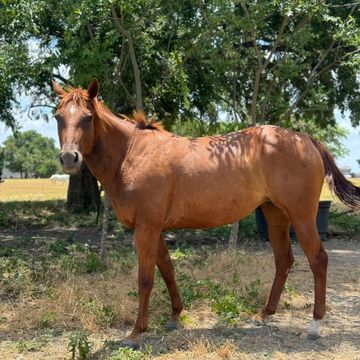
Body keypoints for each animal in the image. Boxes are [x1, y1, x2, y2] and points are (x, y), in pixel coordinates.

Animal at [52, 79, 360, 348]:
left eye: (87, 117)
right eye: (58, 117)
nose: (69, 158)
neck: (131, 154)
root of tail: (304, 139)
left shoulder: (146, 229)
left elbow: (145, 279)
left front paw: (136, 332)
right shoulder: (155, 229)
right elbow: (168, 270)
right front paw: (176, 315)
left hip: (302, 217)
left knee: (318, 260)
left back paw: (315, 324)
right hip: (275, 216)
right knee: (284, 260)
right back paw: (264, 314)